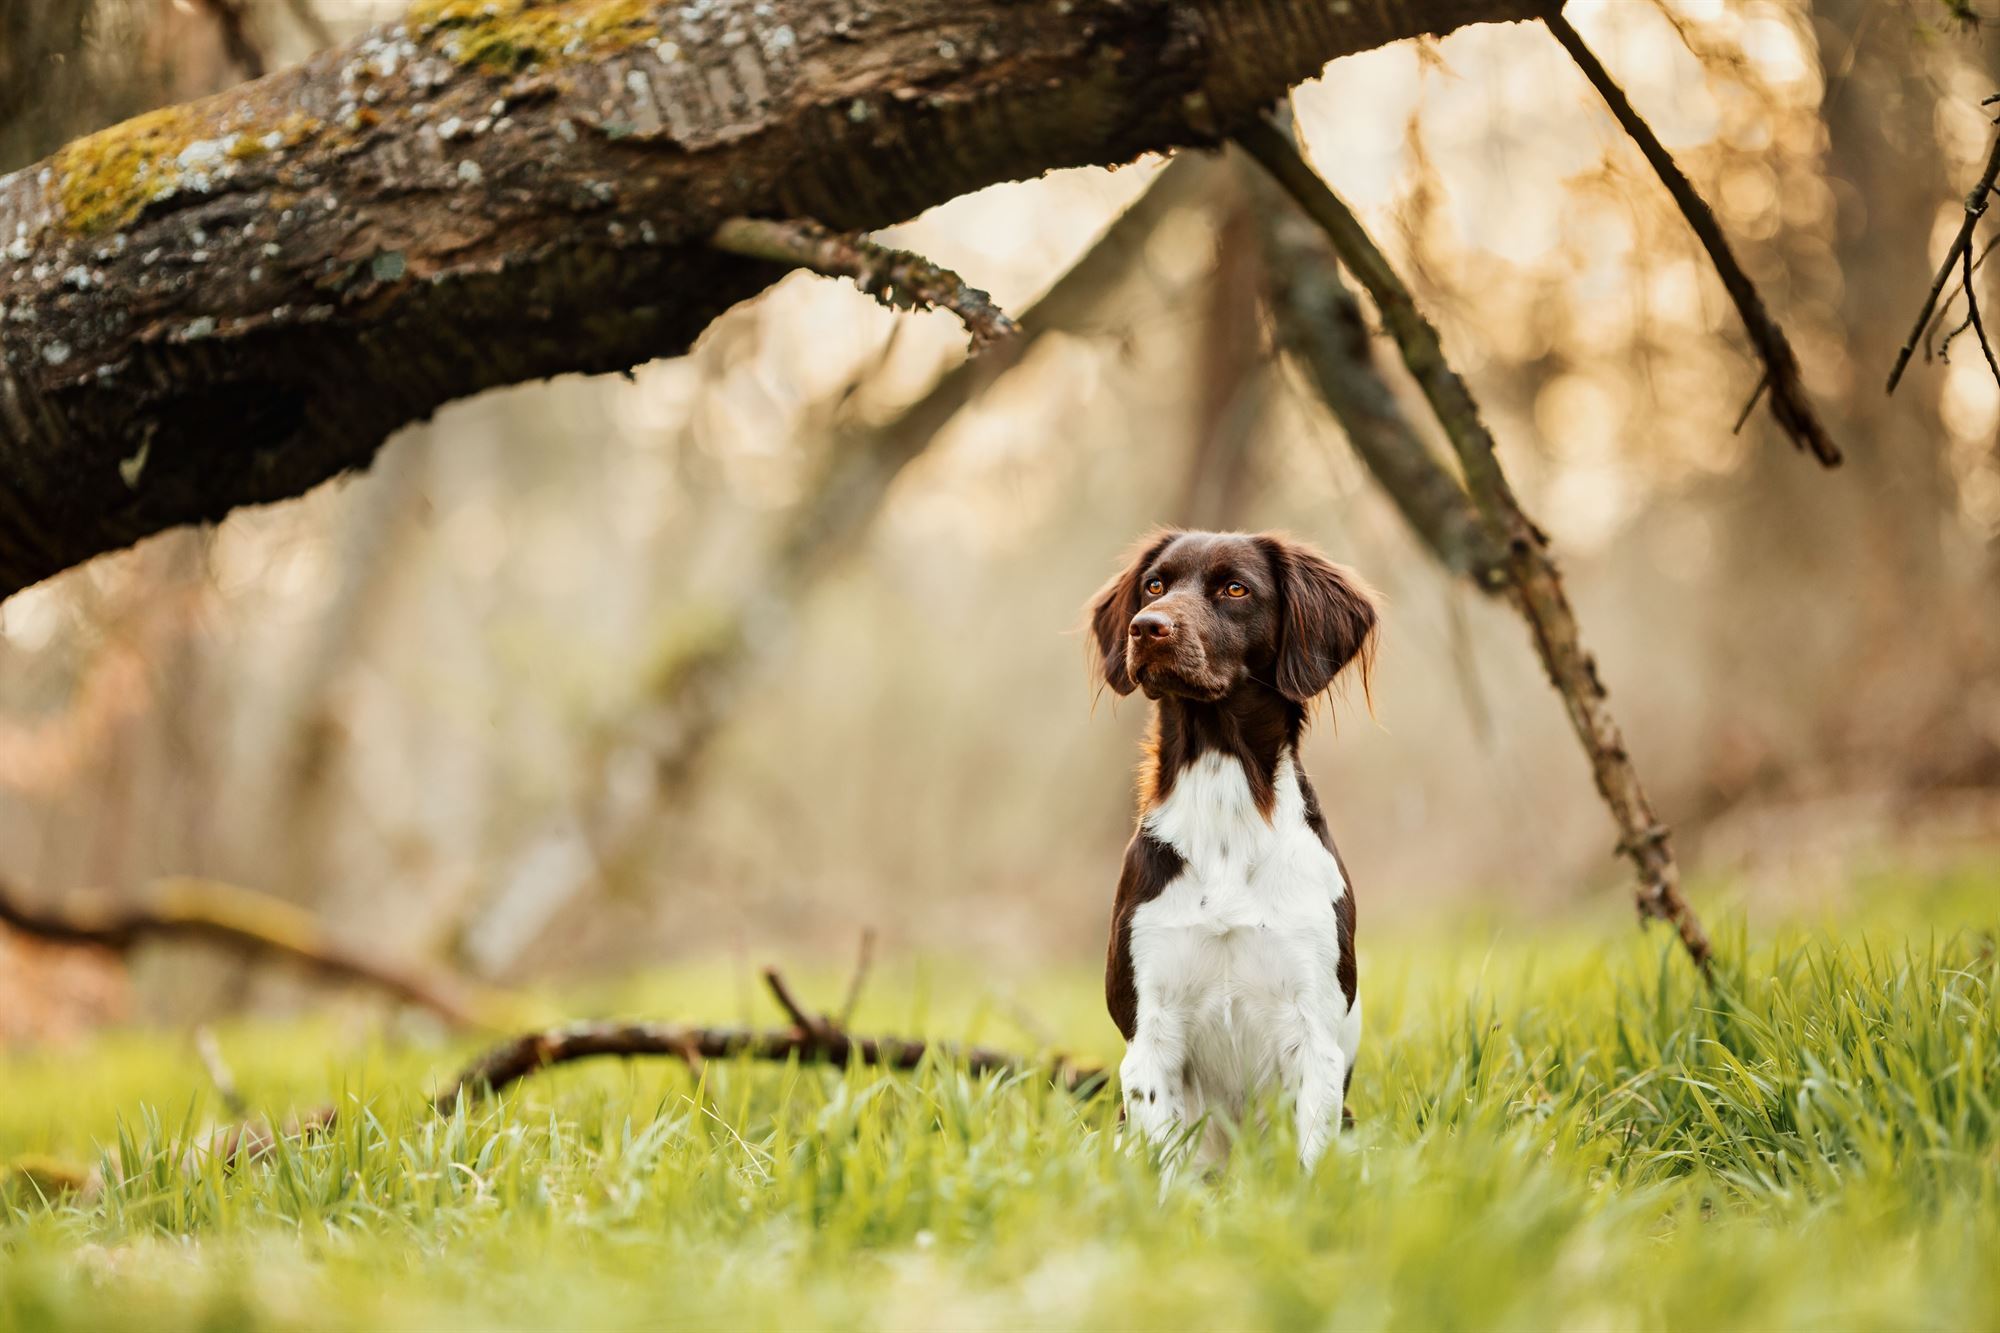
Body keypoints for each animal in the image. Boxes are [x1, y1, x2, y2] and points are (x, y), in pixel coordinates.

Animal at [1088, 524, 1384, 1168]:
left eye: (1235, 589)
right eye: (1155, 585)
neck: (1225, 809)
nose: (1146, 626)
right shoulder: (1149, 1034)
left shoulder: (1314, 1032)